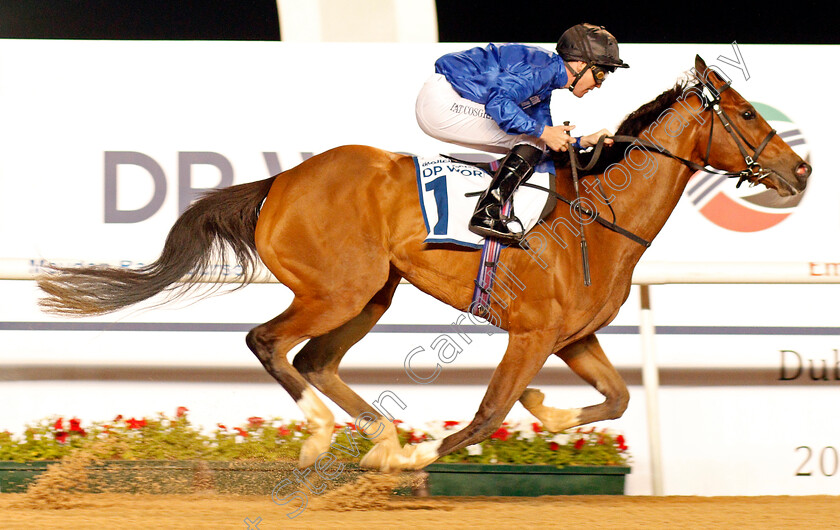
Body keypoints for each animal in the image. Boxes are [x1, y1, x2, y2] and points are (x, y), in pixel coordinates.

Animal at [36, 56, 812, 470]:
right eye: (747, 115)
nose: (801, 169)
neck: (597, 219)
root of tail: (281, 182)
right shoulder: (531, 334)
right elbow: (484, 416)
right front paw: (419, 454)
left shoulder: (575, 336)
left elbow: (616, 398)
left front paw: (549, 410)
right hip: (337, 290)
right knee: (268, 342)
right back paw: (327, 436)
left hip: (374, 292)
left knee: (315, 359)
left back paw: (375, 436)